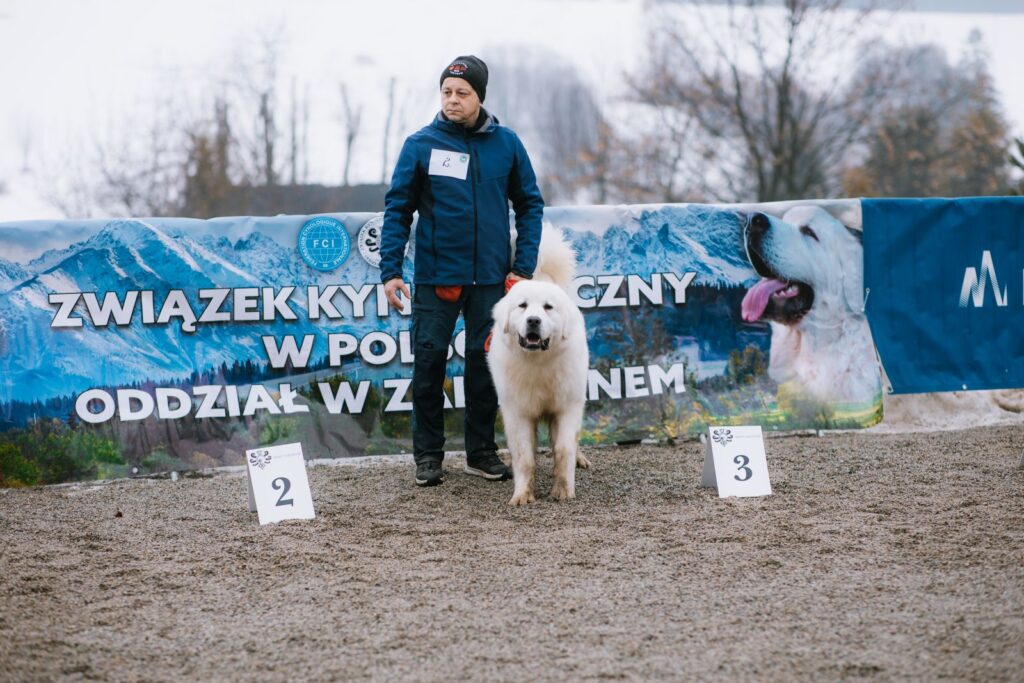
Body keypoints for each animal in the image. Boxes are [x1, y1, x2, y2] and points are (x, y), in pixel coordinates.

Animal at [488, 228, 590, 505]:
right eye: (522, 306)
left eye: (548, 307)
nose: (533, 320)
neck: (538, 364)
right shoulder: (517, 411)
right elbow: (525, 456)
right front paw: (522, 494)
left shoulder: (567, 406)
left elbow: (564, 448)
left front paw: (563, 490)